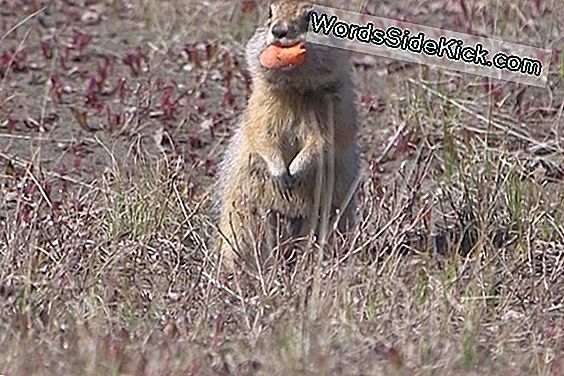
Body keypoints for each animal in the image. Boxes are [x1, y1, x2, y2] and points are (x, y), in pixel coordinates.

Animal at [214, 0, 360, 270]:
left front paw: (295, 170)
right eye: (269, 13)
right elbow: (263, 137)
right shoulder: (260, 108)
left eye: (312, 16)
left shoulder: (335, 112)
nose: (278, 31)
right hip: (243, 219)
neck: (295, 90)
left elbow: (323, 143)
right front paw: (281, 173)